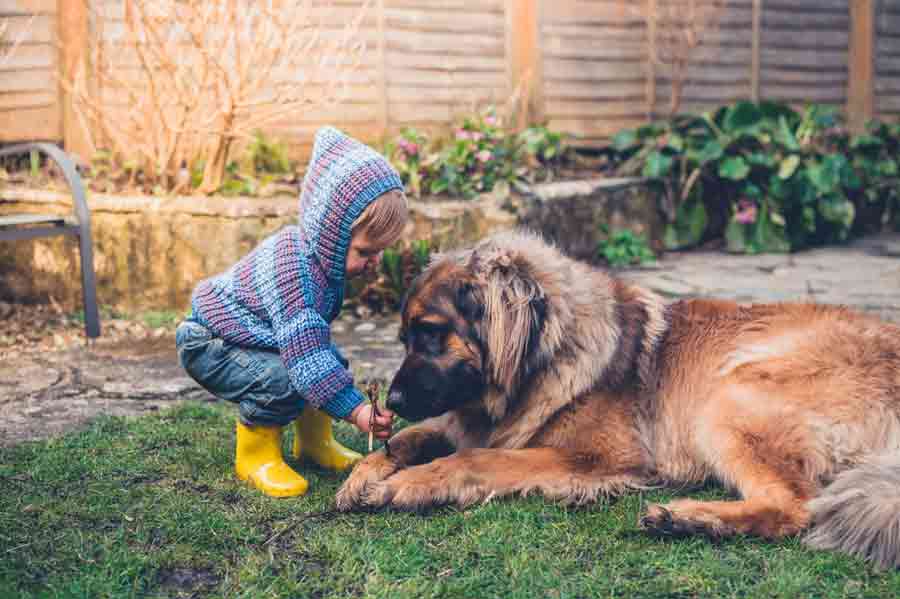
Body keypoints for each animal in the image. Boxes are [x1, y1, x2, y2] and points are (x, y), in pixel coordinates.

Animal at [338, 231, 900, 572]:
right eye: (404, 337)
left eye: (432, 334)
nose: (393, 397)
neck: (549, 354)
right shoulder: (463, 421)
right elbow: (409, 439)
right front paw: (363, 474)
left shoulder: (596, 456)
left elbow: (475, 458)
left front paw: (406, 485)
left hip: (726, 398)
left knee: (795, 507)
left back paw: (688, 518)